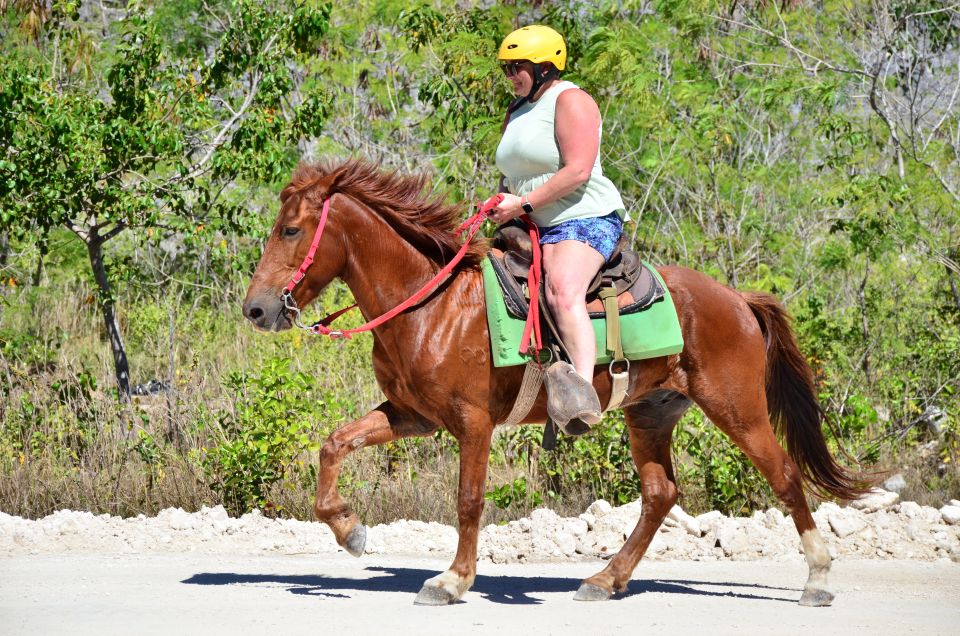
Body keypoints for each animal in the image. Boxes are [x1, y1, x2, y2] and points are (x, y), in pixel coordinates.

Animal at [242, 158, 868, 606]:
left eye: (291, 229)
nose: (256, 309)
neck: (431, 303)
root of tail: (737, 298)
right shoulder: (412, 415)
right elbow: (333, 445)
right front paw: (349, 530)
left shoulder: (472, 422)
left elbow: (468, 499)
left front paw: (452, 580)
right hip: (651, 412)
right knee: (660, 494)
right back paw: (605, 579)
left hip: (737, 407)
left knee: (784, 475)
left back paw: (817, 579)